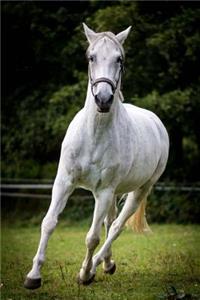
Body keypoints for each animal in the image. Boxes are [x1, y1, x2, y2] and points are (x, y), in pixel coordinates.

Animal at [24, 23, 170, 288]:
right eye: (90, 57)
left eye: (119, 59)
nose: (103, 99)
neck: (94, 133)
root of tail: (155, 121)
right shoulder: (64, 182)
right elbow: (48, 223)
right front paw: (33, 276)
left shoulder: (103, 192)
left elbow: (92, 237)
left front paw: (84, 274)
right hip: (113, 193)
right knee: (109, 222)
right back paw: (107, 264)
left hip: (139, 189)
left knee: (116, 227)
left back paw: (94, 267)